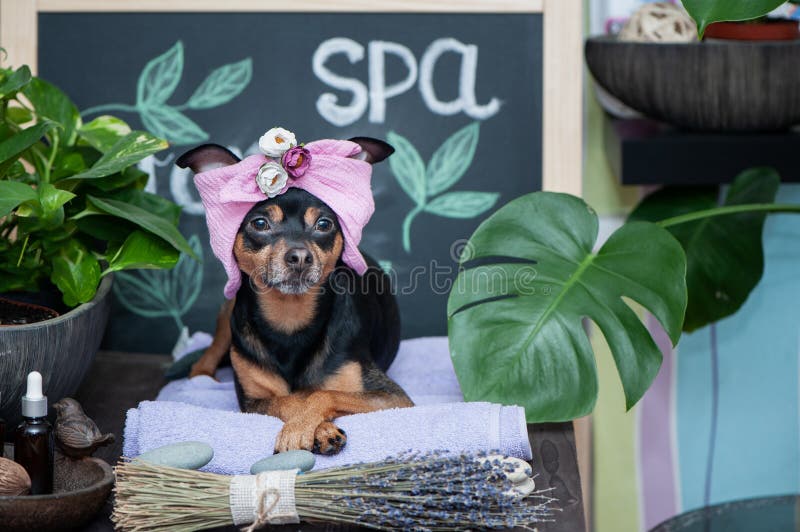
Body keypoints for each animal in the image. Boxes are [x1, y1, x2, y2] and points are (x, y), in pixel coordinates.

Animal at [176, 136, 412, 454]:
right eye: (260, 224)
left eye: (324, 224)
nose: (299, 257)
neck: (290, 318)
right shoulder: (253, 401)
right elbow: (289, 400)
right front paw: (314, 428)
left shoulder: (391, 396)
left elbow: (321, 394)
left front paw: (306, 428)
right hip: (227, 312)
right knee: (208, 355)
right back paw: (202, 376)